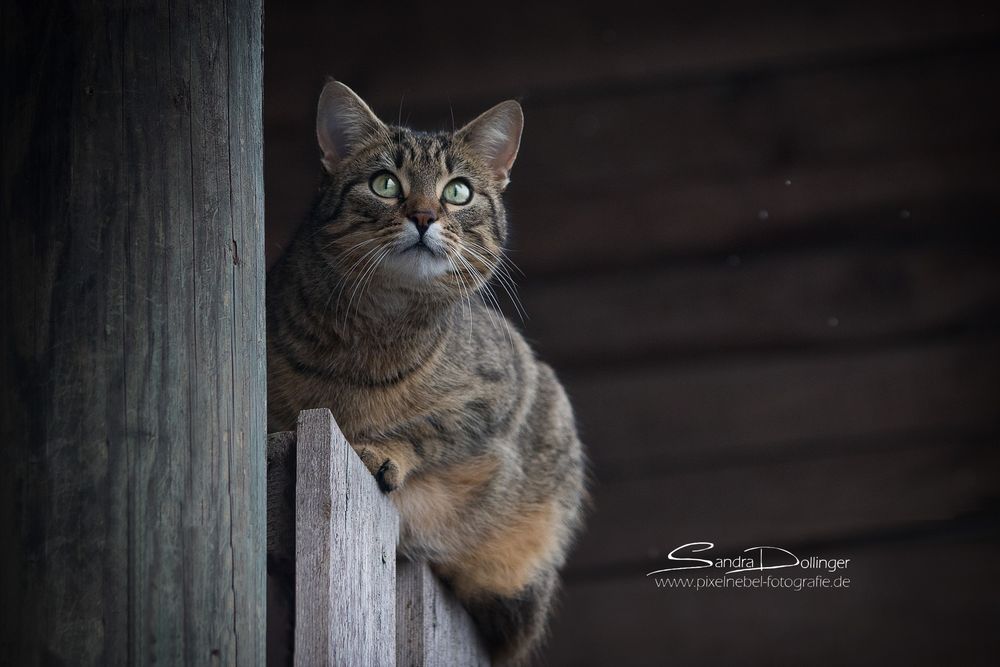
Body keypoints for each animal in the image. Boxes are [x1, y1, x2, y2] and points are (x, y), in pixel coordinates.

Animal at [270, 81, 588, 660]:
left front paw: (381, 449)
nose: (423, 216)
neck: (376, 329)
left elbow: (433, 428)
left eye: (458, 191)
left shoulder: (503, 392)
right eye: (384, 183)